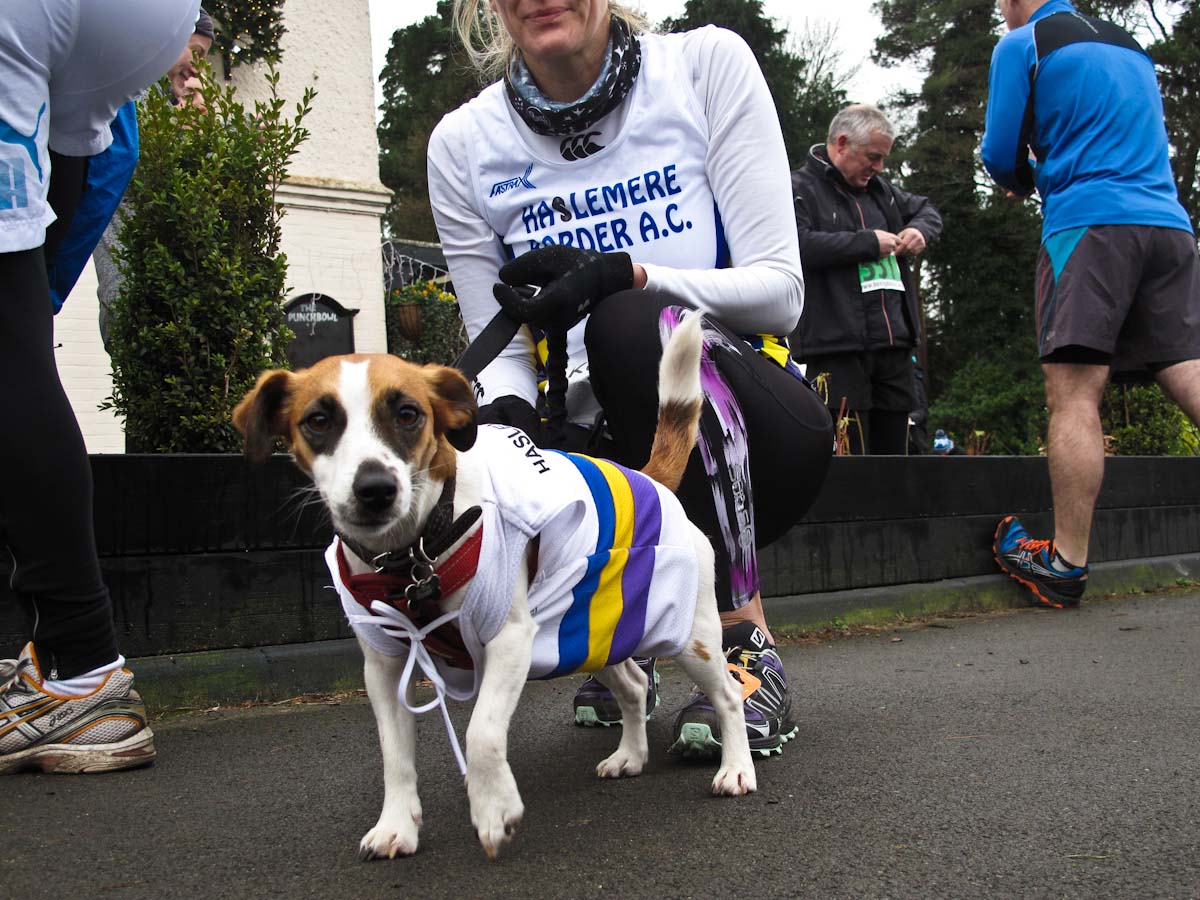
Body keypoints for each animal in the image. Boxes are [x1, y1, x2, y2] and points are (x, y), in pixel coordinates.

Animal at [230, 314, 753, 859]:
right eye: (317, 421)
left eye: (409, 414)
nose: (375, 489)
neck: (417, 549)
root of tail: (650, 479)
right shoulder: (386, 665)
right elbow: (394, 754)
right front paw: (396, 824)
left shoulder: (509, 641)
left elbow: (482, 732)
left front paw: (493, 808)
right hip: (588, 631)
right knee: (631, 686)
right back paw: (629, 755)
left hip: (688, 637)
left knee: (728, 695)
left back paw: (736, 768)